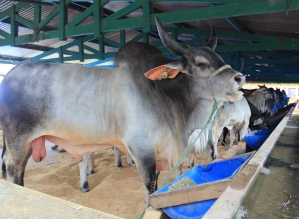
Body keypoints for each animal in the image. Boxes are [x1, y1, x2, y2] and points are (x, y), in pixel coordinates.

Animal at [0, 18, 246, 204]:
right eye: (202, 63)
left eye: (220, 58)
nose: (240, 78)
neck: (165, 95)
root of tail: (11, 72)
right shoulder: (142, 152)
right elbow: (150, 189)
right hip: (17, 141)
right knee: (12, 168)